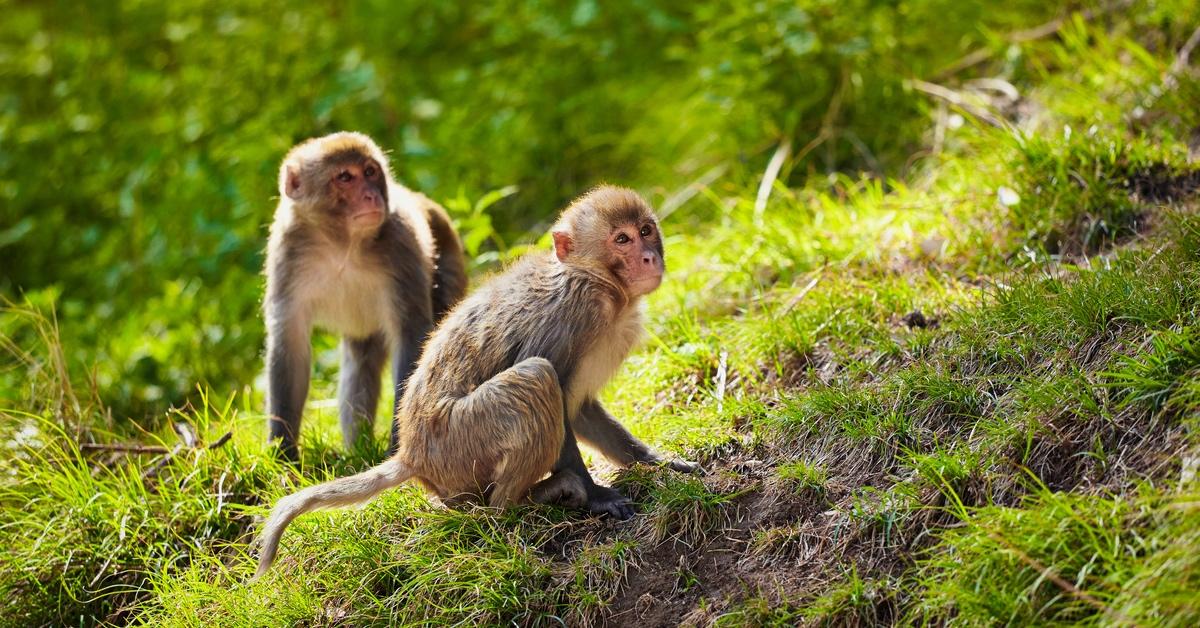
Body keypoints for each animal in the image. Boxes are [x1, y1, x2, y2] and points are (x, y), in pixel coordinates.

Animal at [258, 186, 700, 573]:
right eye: (621, 239)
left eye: (646, 230)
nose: (648, 257)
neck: (603, 285)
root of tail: (411, 455)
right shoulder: (574, 314)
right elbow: (555, 388)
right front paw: (596, 497)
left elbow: (579, 410)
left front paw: (654, 462)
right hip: (458, 441)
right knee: (536, 380)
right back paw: (524, 502)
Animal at [266, 131, 468, 461]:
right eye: (345, 177)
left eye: (371, 172)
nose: (372, 196)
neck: (342, 243)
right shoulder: (288, 252)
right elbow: (289, 343)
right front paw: (283, 451)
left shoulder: (401, 244)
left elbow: (411, 335)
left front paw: (399, 445)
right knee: (361, 361)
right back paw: (356, 448)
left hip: (449, 266)